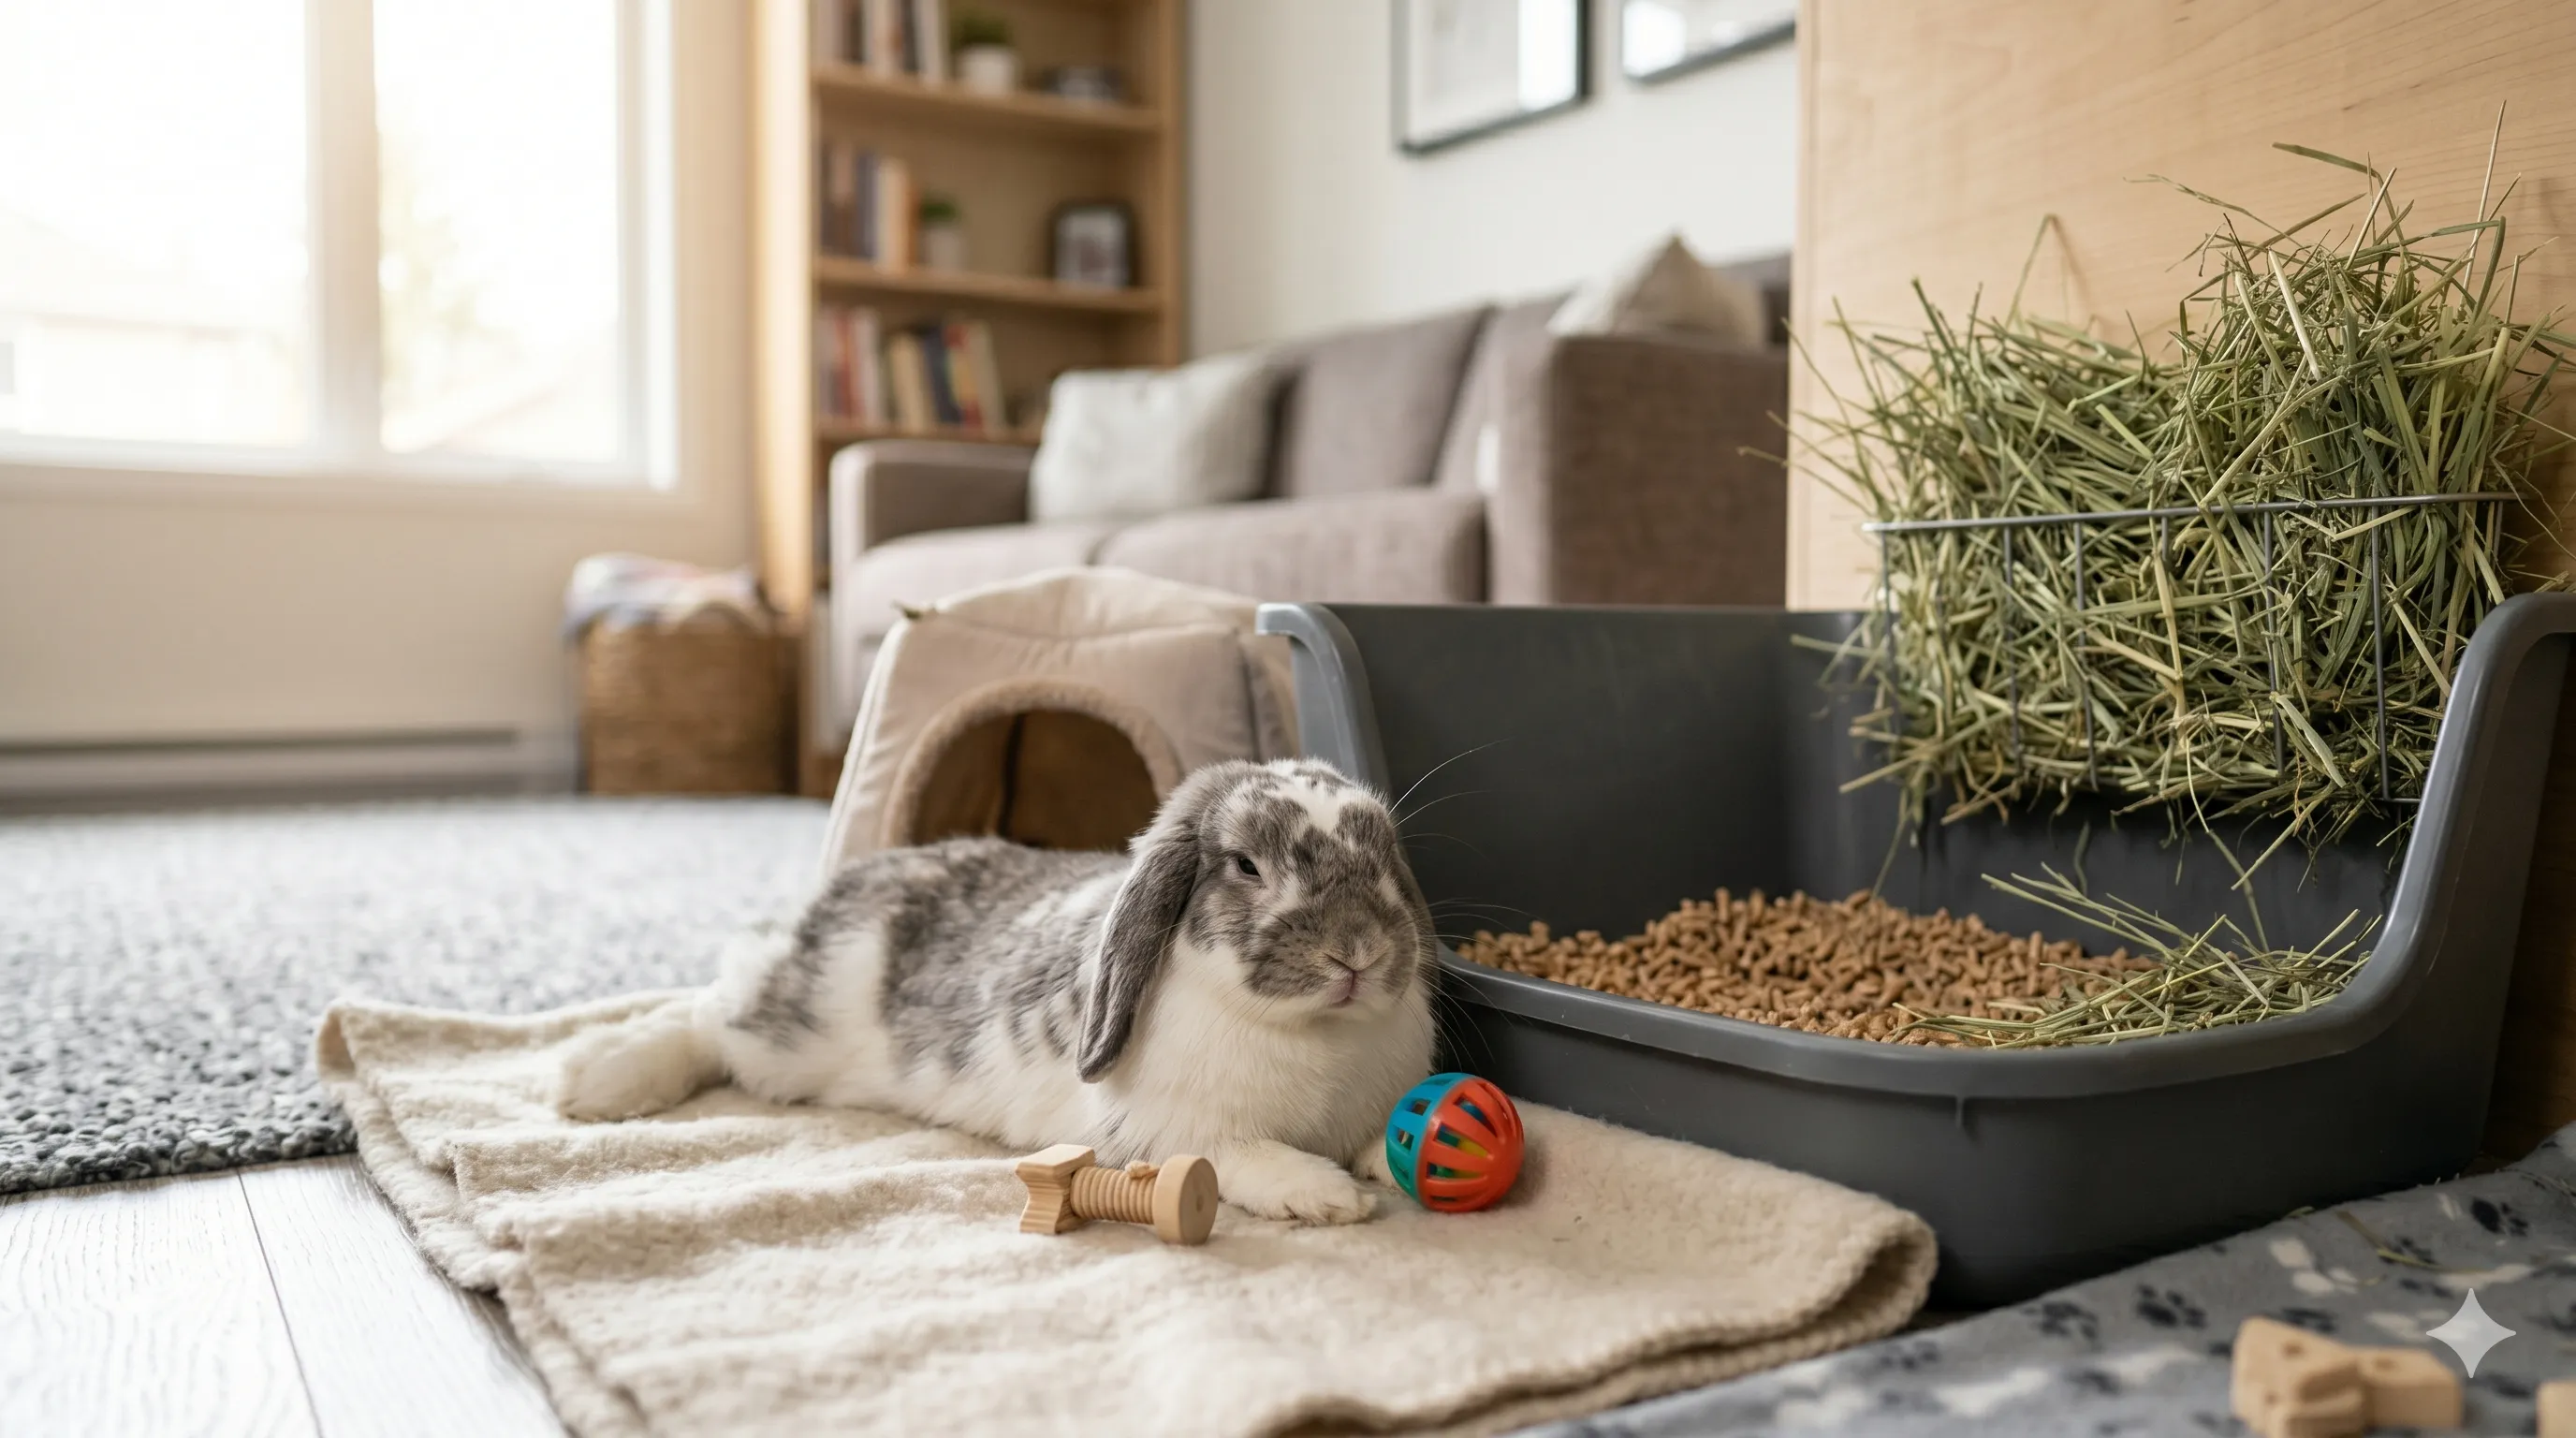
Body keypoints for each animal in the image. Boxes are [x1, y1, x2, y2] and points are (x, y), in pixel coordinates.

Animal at [555, 757, 1439, 1225]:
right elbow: (1243, 1160)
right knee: (710, 1014)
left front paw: (1378, 1165)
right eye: (1247, 866)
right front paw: (1328, 1196)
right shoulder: (1168, 1136)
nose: (1357, 952)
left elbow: (1380, 1136)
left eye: (1385, 856)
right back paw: (595, 1078)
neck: (1318, 1035)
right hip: (790, 1037)